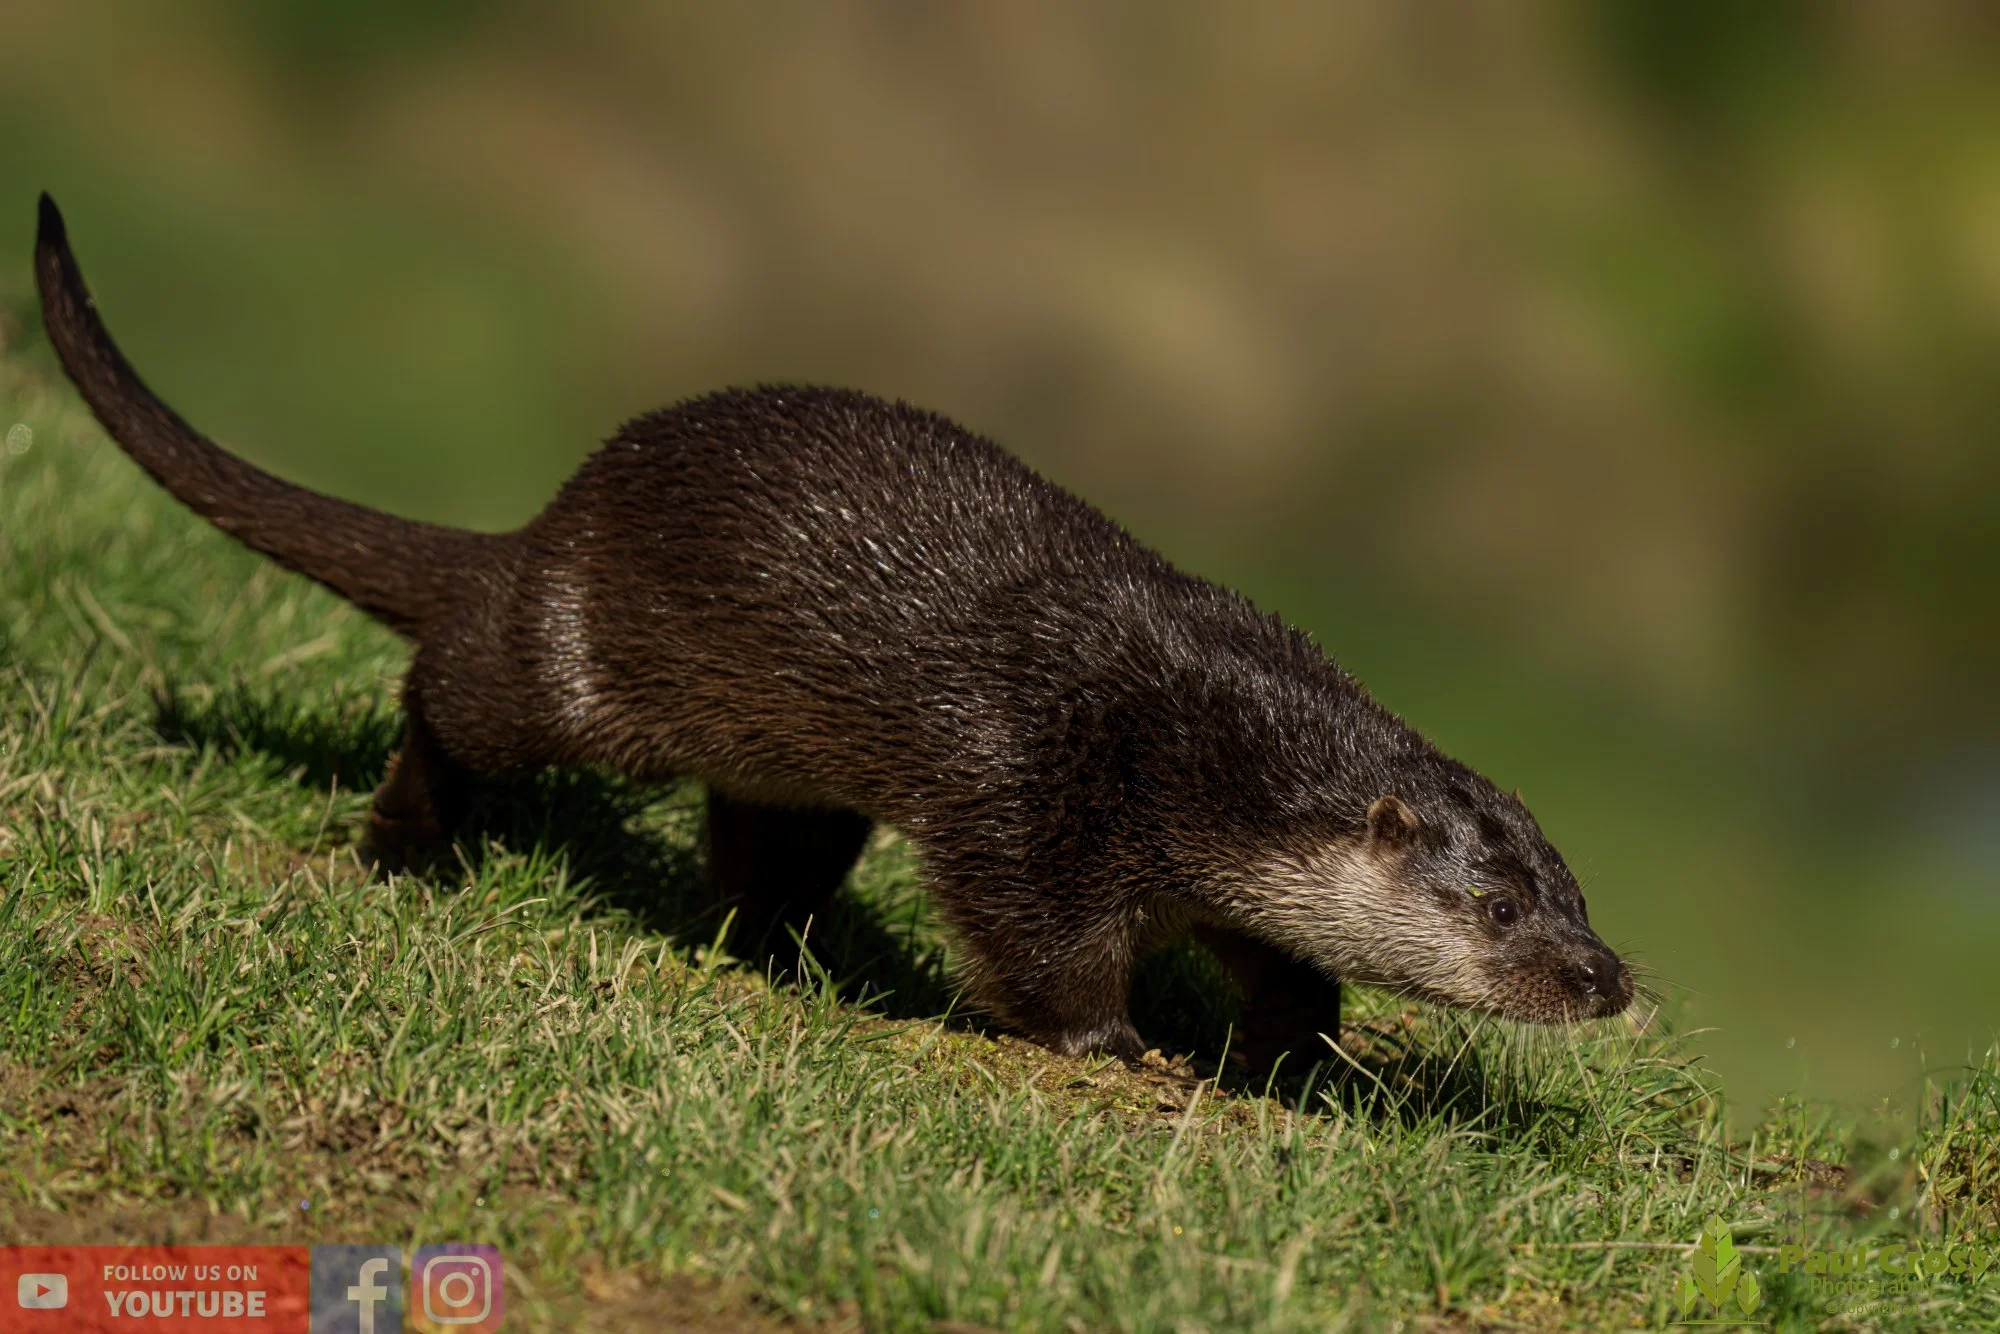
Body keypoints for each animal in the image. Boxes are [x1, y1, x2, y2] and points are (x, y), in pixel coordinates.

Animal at [32, 194, 1633, 1067]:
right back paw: (407, 845)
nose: (1604, 976)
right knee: (451, 690)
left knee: (763, 847)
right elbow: (1035, 937)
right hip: (574, 659)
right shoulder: (1026, 785)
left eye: (1574, 892)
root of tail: (549, 523)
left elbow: (1282, 962)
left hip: (787, 765)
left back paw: (777, 950)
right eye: (1499, 909)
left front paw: (1303, 1055)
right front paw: (1115, 1043)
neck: (1188, 739)